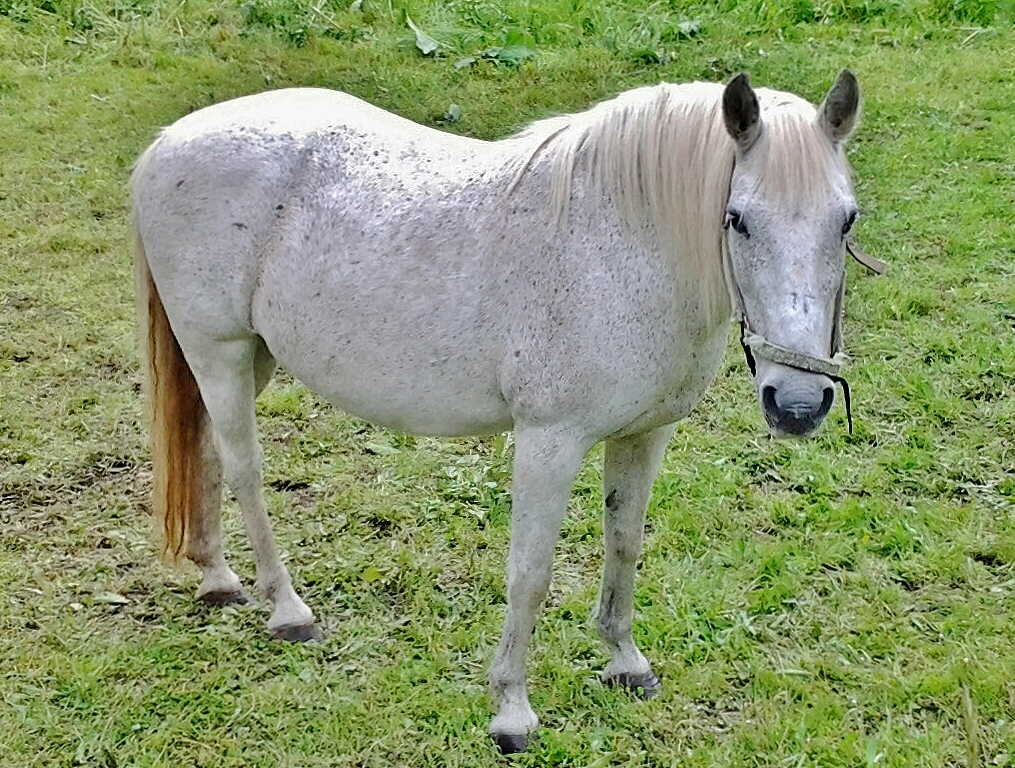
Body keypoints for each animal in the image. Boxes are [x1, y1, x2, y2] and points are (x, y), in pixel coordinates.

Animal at [132, 68, 864, 750]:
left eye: (846, 220)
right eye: (737, 218)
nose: (798, 404)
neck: (629, 243)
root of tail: (166, 143)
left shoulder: (645, 434)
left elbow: (623, 543)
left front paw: (624, 661)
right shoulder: (549, 441)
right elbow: (530, 573)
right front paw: (511, 709)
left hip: (249, 358)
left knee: (205, 450)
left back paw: (217, 577)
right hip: (220, 351)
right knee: (244, 469)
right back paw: (287, 610)